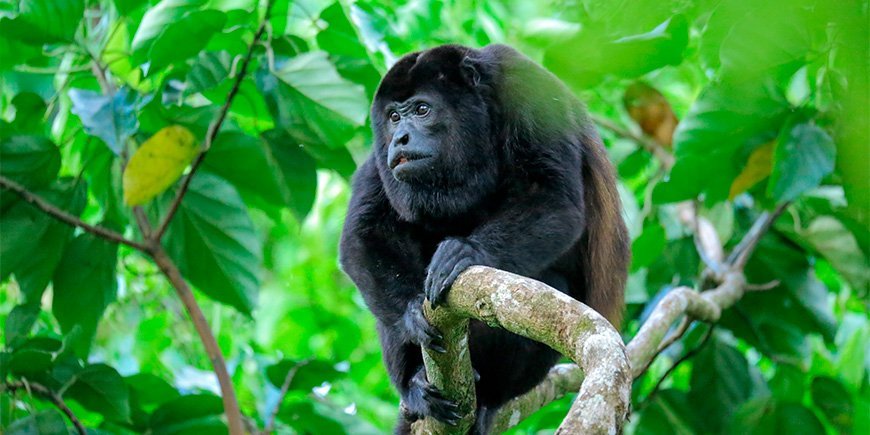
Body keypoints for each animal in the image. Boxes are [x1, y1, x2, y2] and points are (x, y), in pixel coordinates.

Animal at [338, 45, 632, 435]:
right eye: (394, 117)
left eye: (422, 109)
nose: (399, 139)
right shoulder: (381, 161)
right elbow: (364, 233)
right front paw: (411, 314)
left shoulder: (527, 91)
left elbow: (553, 198)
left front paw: (465, 252)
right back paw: (413, 386)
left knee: (552, 284)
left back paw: (488, 400)